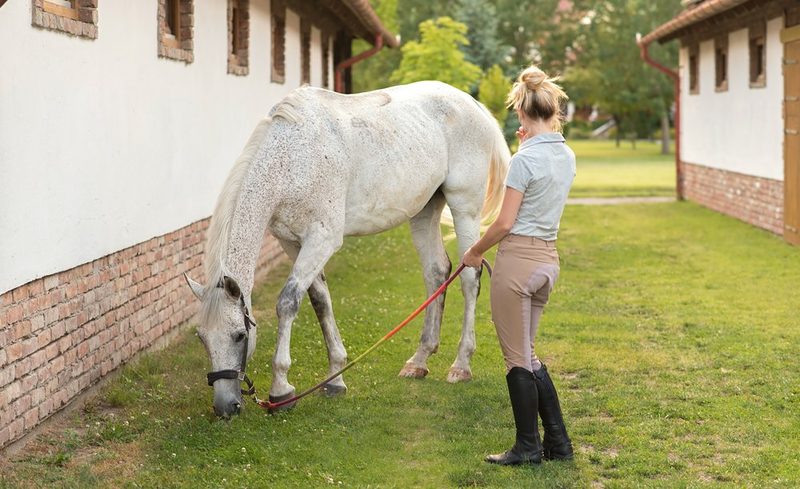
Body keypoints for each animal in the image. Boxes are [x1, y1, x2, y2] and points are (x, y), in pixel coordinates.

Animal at [184, 81, 510, 417]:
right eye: (203, 339)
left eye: (239, 336)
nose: (226, 407)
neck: (293, 157)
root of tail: (473, 105)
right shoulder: (293, 242)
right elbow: (319, 300)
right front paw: (335, 378)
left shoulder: (322, 239)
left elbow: (288, 302)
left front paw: (281, 389)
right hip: (425, 211)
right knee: (436, 272)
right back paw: (418, 361)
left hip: (465, 208)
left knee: (469, 278)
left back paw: (461, 365)